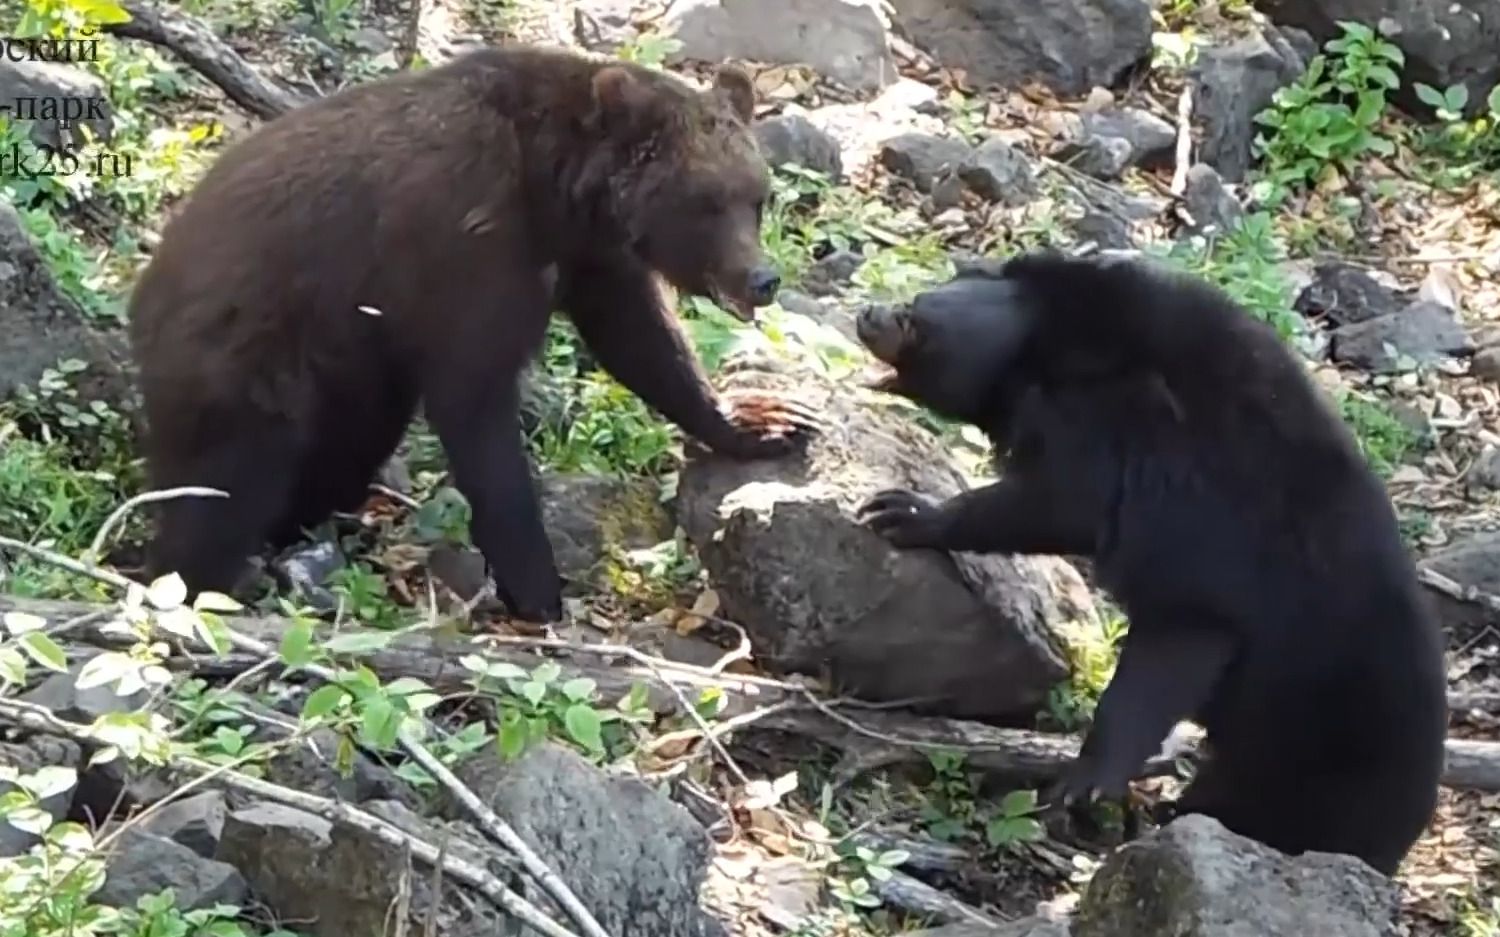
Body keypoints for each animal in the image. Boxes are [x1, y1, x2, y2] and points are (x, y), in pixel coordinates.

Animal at [126, 47, 822, 623]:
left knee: (344, 450)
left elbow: (643, 342)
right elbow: (477, 407)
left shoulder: (588, 258)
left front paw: (765, 419)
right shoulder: (464, 248)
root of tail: (146, 285)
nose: (762, 277)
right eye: (705, 202)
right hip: (248, 353)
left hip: (351, 369)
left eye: (756, 197)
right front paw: (539, 591)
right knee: (226, 483)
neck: (556, 190)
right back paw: (197, 579)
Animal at [858, 250, 1452, 875]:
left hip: (1308, 760)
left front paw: (907, 512)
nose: (867, 314)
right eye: (915, 300)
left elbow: (1062, 507)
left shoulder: (1153, 479)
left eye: (914, 319)